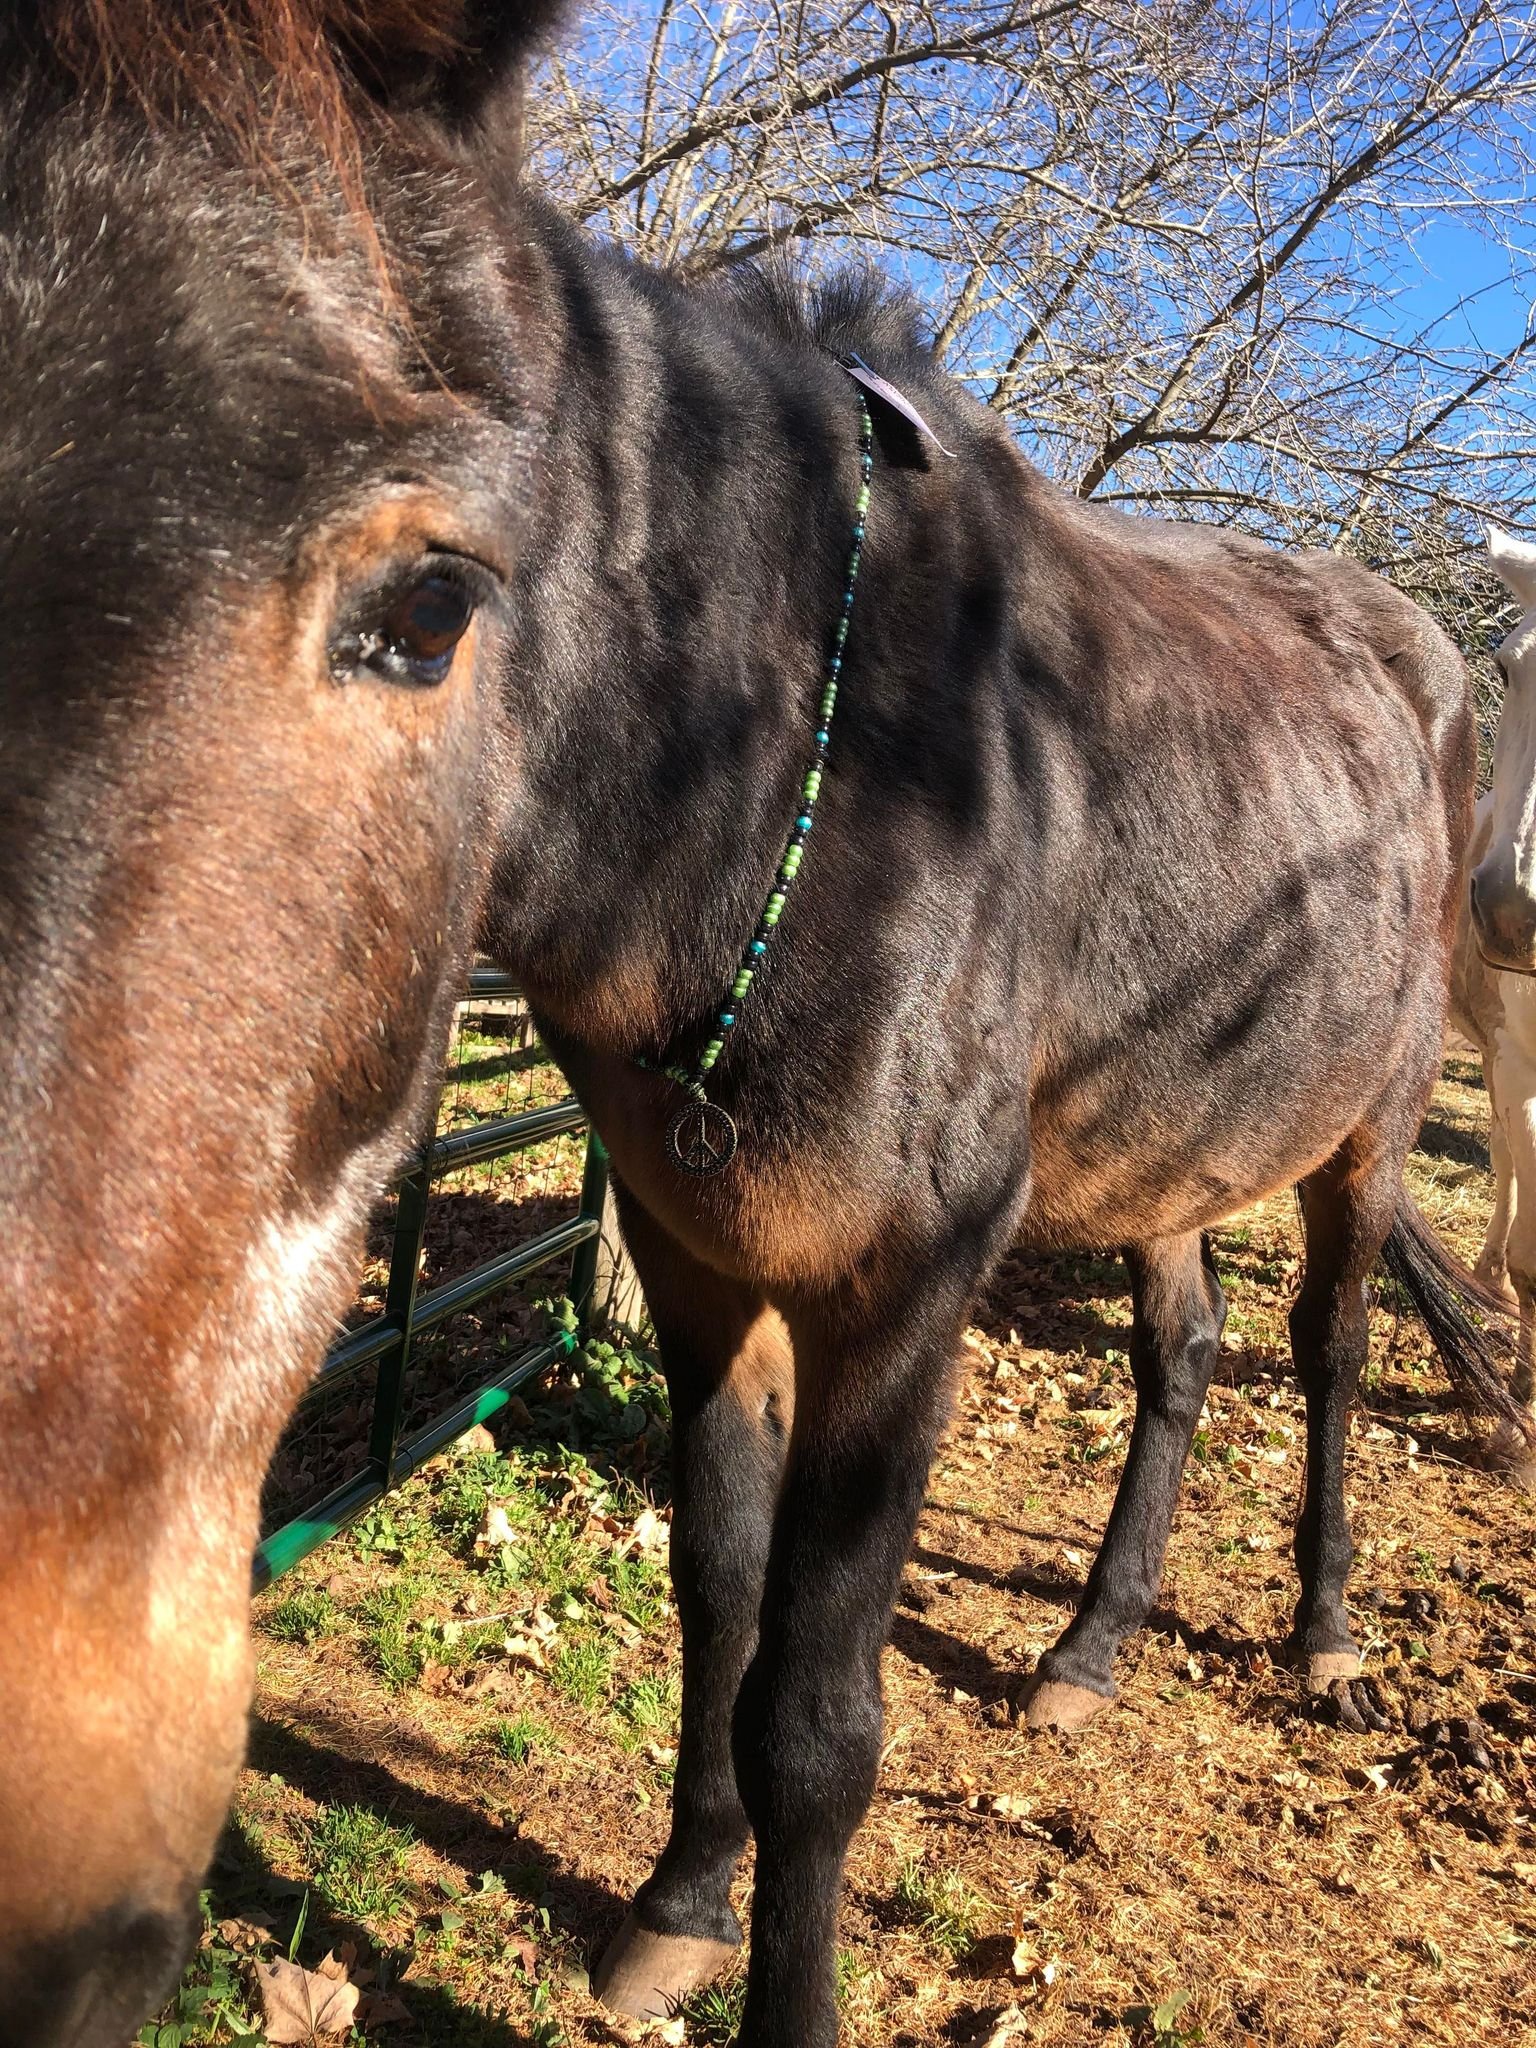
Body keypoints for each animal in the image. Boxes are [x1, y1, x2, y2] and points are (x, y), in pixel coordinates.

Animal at [0, 8, 1515, 2039]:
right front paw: (677, 1899)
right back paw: (1088, 1646)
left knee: (1333, 1347)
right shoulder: (698, 1252)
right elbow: (716, 1596)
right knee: (1184, 1354)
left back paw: (1327, 1631)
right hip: (1168, 1144)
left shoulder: (903, 1292)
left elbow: (815, 1712)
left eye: (431, 607)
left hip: (1370, 1122)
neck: (789, 770)